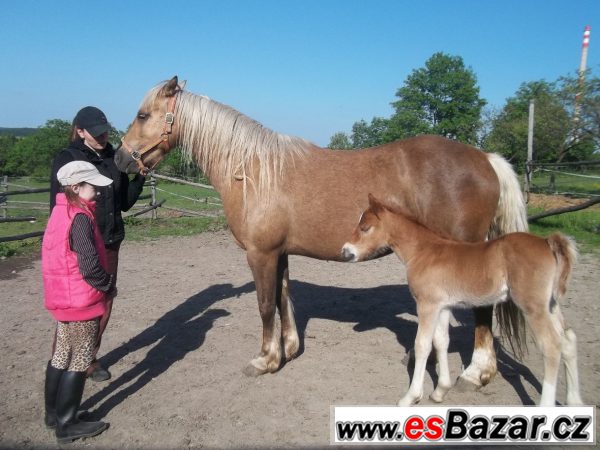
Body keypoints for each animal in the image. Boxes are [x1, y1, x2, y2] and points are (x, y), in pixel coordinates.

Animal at [112, 75, 524, 384]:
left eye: (143, 114)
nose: (118, 159)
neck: (254, 171)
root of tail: (484, 158)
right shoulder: (279, 253)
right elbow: (283, 297)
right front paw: (288, 350)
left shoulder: (260, 254)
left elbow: (265, 305)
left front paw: (265, 359)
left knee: (483, 308)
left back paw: (476, 372)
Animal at [342, 195, 580, 406]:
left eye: (365, 227)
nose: (346, 252)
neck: (423, 252)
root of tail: (547, 242)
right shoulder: (443, 306)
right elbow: (441, 341)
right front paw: (440, 391)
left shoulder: (427, 305)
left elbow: (422, 344)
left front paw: (411, 397)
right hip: (551, 305)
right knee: (568, 339)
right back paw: (574, 402)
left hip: (533, 306)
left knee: (552, 346)